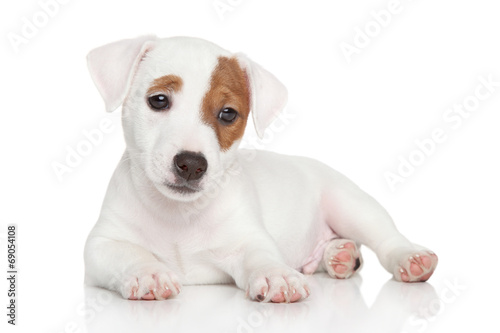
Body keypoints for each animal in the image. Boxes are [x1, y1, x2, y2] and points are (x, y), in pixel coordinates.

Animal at [85, 35, 438, 302]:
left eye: (228, 113)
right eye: (158, 100)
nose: (192, 165)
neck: (179, 215)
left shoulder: (249, 239)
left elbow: (262, 256)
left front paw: (276, 276)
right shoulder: (101, 246)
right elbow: (129, 254)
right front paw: (148, 272)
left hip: (351, 204)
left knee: (385, 237)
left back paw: (409, 259)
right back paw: (339, 255)